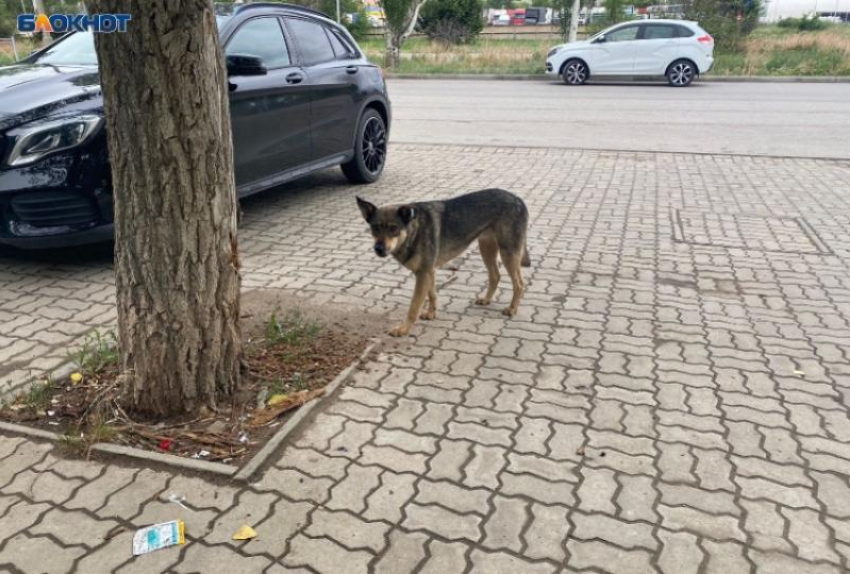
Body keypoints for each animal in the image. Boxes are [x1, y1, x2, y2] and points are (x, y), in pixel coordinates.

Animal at [354, 189, 528, 338]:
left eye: (393, 228)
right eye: (375, 228)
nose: (378, 249)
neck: (413, 231)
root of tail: (517, 199)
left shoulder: (424, 273)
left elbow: (414, 307)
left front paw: (403, 329)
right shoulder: (428, 271)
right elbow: (432, 294)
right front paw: (431, 313)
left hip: (508, 253)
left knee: (519, 283)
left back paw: (512, 308)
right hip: (486, 248)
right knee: (495, 276)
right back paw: (487, 299)